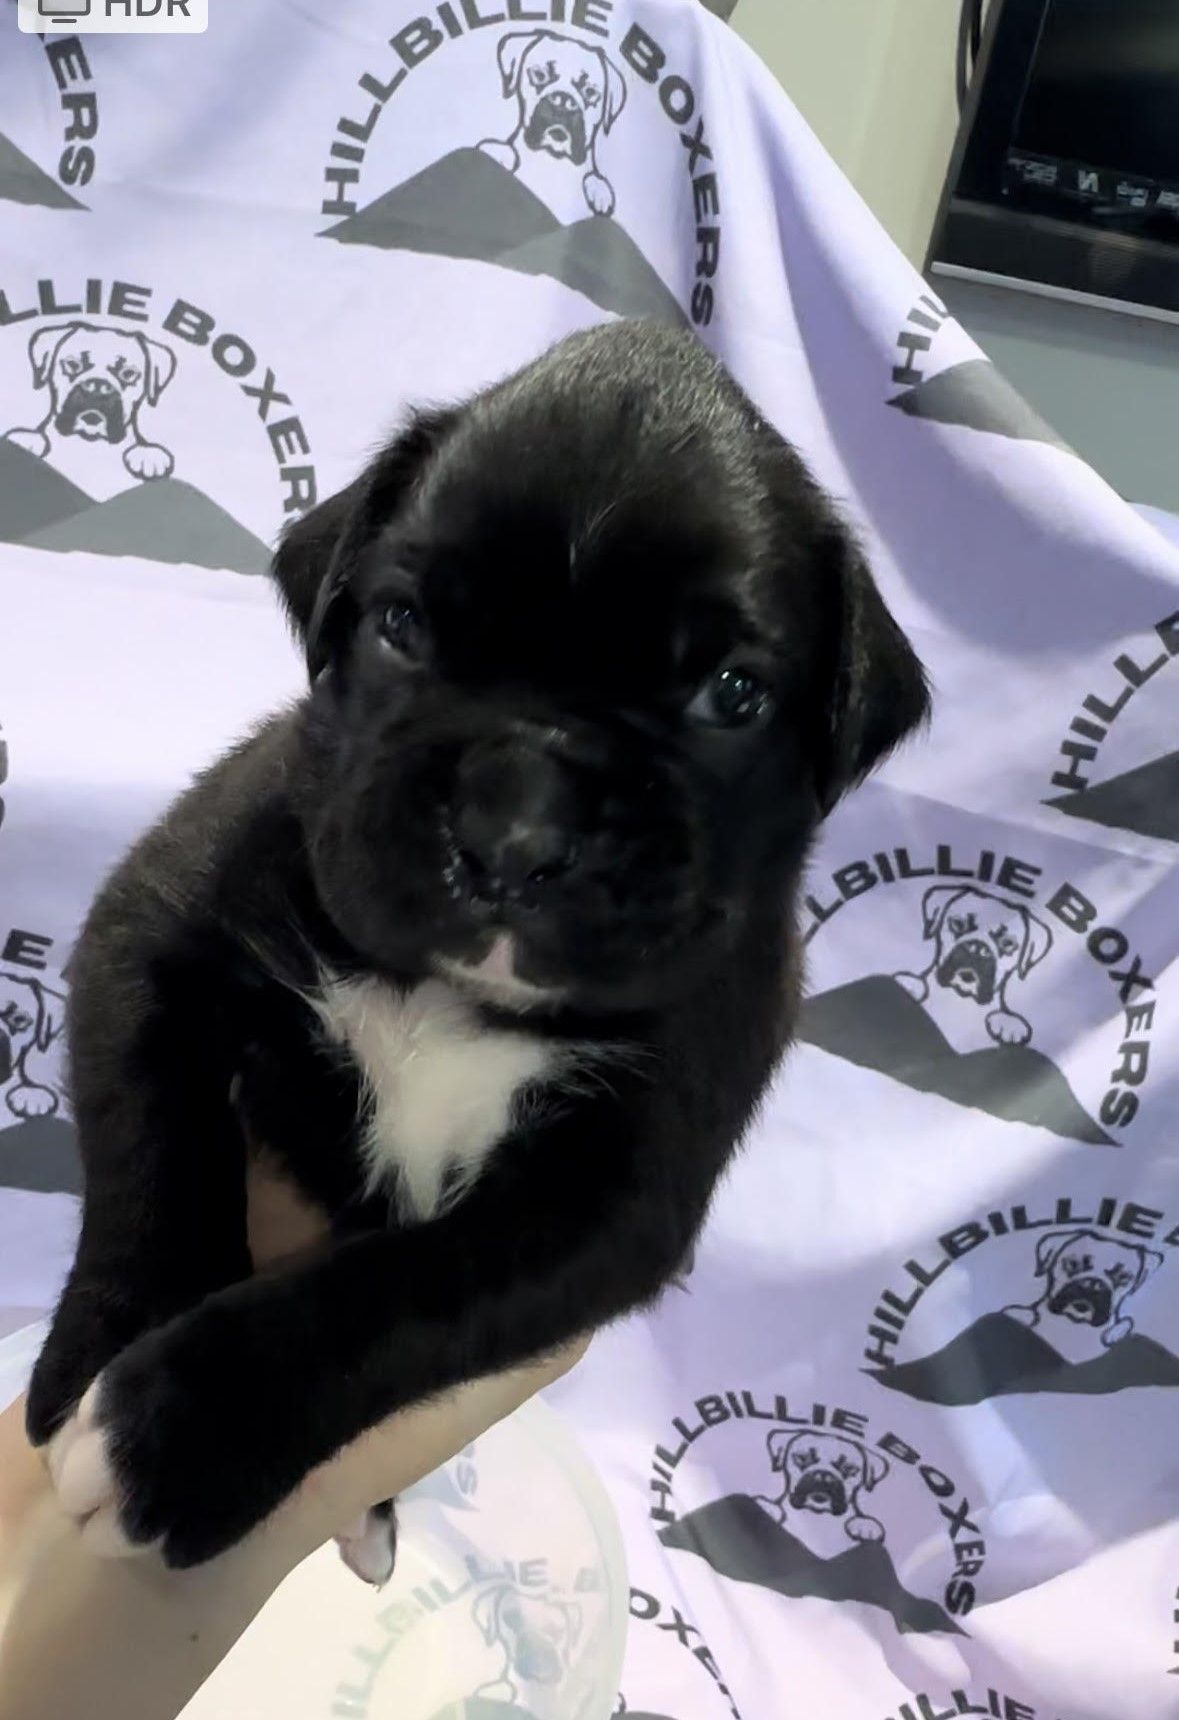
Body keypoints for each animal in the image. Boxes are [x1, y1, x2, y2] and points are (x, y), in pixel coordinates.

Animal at [479, 29, 626, 218]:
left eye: (590, 91)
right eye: (540, 75)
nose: (563, 101)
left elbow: (593, 178)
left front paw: (599, 191)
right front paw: (500, 154)